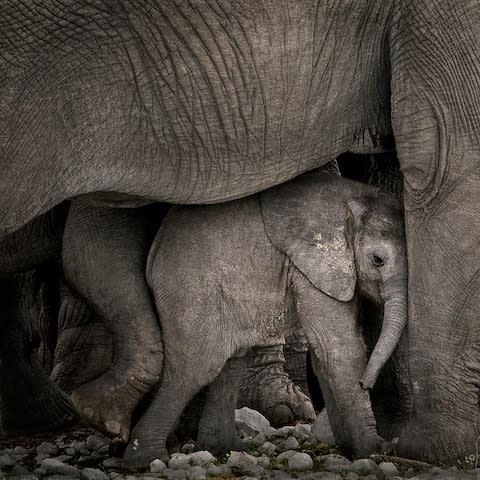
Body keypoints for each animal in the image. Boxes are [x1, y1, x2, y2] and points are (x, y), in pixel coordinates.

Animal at [123, 172, 404, 464]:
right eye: (378, 260)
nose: (366, 383)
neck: (353, 202)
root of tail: (154, 253)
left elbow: (324, 355)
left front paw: (351, 449)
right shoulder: (313, 268)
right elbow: (338, 350)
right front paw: (374, 451)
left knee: (233, 362)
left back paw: (226, 448)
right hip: (191, 289)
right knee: (197, 367)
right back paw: (145, 458)